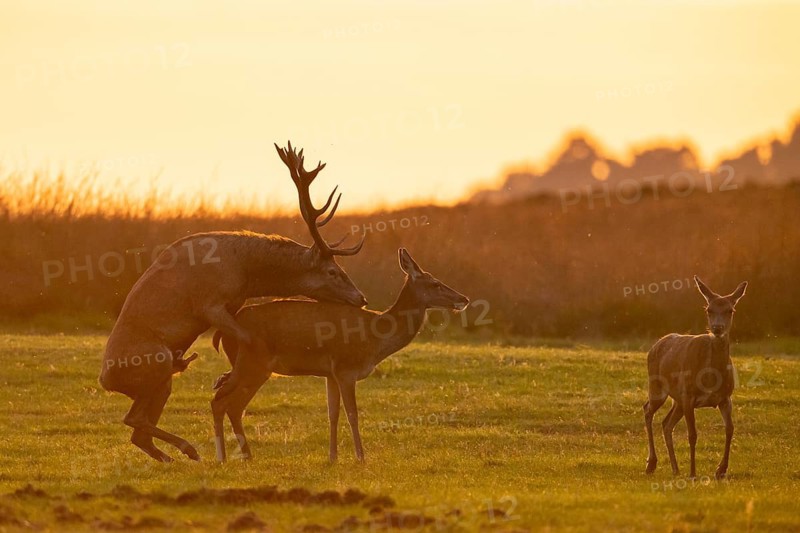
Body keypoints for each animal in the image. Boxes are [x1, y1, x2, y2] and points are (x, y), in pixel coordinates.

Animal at [99, 142, 367, 462]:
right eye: (331, 271)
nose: (361, 298)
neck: (247, 271)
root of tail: (106, 381)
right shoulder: (209, 304)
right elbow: (247, 337)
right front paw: (226, 377)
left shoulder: (234, 303)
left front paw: (225, 376)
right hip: (157, 361)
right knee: (133, 418)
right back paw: (190, 448)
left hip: (160, 383)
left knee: (138, 430)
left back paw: (173, 452)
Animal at [210, 248, 470, 463]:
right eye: (435, 283)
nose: (464, 299)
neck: (376, 338)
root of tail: (222, 332)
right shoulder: (346, 368)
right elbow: (352, 413)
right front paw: (361, 457)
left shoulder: (330, 374)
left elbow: (332, 413)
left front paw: (333, 457)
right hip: (253, 364)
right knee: (222, 402)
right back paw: (225, 457)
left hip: (249, 367)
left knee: (229, 403)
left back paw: (244, 455)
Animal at [643, 276, 748, 480]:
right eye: (709, 309)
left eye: (730, 310)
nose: (717, 328)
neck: (711, 378)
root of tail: (655, 345)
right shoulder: (689, 395)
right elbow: (692, 434)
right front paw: (693, 472)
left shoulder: (725, 397)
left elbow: (730, 429)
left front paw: (721, 470)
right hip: (657, 386)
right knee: (647, 410)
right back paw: (651, 464)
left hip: (677, 399)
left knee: (666, 423)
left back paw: (675, 469)